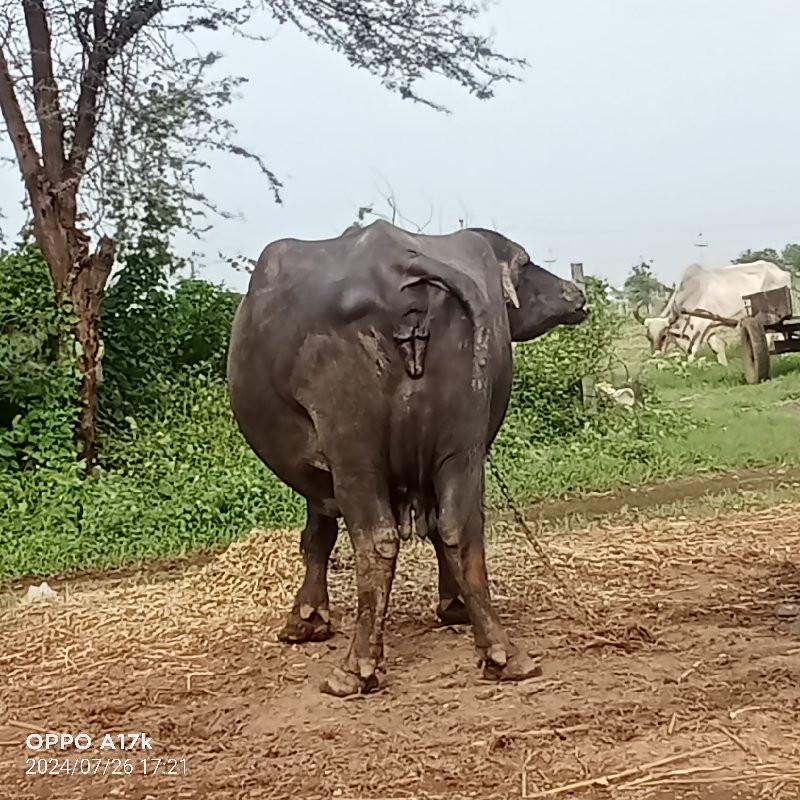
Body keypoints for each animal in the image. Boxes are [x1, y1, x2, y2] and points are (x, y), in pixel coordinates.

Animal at [225, 219, 588, 692]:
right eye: (527, 265)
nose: (575, 293)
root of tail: (399, 259)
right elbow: (436, 530)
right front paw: (453, 605)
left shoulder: (321, 475)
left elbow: (317, 537)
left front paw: (306, 619)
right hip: (461, 446)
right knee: (459, 530)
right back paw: (502, 654)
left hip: (354, 452)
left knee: (376, 541)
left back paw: (355, 668)